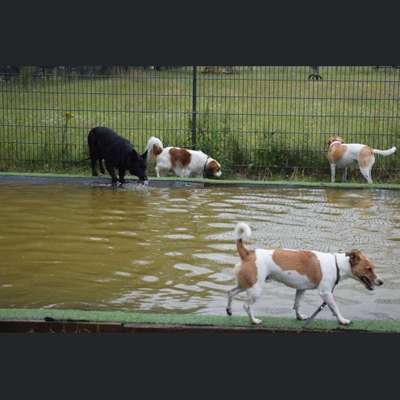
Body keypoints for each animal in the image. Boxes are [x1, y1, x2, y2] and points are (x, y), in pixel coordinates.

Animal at [227, 222, 382, 324]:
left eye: (373, 267)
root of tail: (248, 253)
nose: (381, 282)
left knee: (230, 293)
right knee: (246, 306)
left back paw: (229, 310)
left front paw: (300, 317)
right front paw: (342, 320)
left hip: (246, 284)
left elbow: (297, 304)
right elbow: (335, 307)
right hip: (256, 289)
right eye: (369, 268)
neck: (337, 264)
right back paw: (254, 320)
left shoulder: (301, 289)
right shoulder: (326, 293)